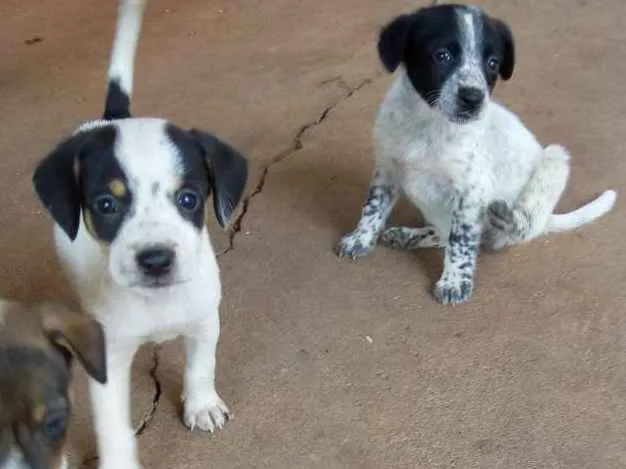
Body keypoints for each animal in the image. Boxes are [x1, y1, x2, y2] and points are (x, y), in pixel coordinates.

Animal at [31, 0, 246, 468]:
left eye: (188, 199)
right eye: (106, 205)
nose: (156, 260)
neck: (156, 301)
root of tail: (111, 119)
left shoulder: (204, 320)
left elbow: (200, 365)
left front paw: (201, 404)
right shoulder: (109, 359)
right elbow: (113, 425)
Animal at [334, 4, 616, 304]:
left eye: (492, 63)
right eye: (441, 55)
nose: (473, 98)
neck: (429, 123)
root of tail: (546, 219)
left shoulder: (471, 192)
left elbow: (461, 240)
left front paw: (455, 281)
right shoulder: (386, 168)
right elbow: (373, 208)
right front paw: (360, 238)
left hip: (554, 159)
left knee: (517, 229)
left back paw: (506, 218)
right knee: (450, 233)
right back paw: (410, 236)